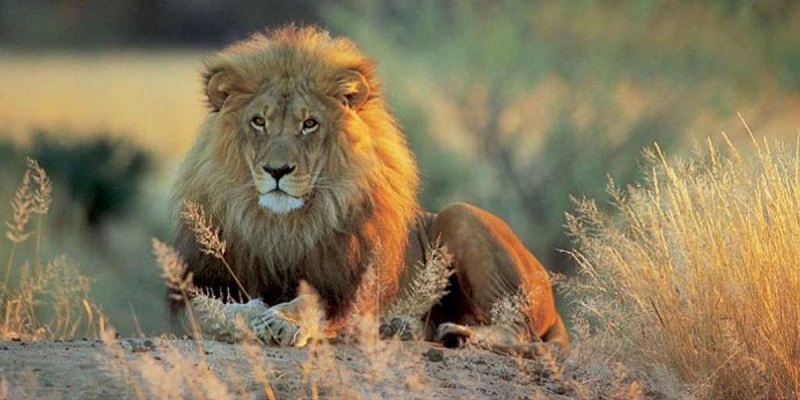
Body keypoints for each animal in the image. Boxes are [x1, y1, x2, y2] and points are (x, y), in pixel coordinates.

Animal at [170, 26, 569, 353]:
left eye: (309, 124)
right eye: (258, 121)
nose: (277, 170)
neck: (286, 226)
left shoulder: (352, 292)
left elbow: (313, 303)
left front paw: (283, 320)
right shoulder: (196, 288)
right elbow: (205, 313)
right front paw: (253, 314)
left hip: (460, 215)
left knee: (519, 330)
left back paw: (455, 332)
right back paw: (407, 327)